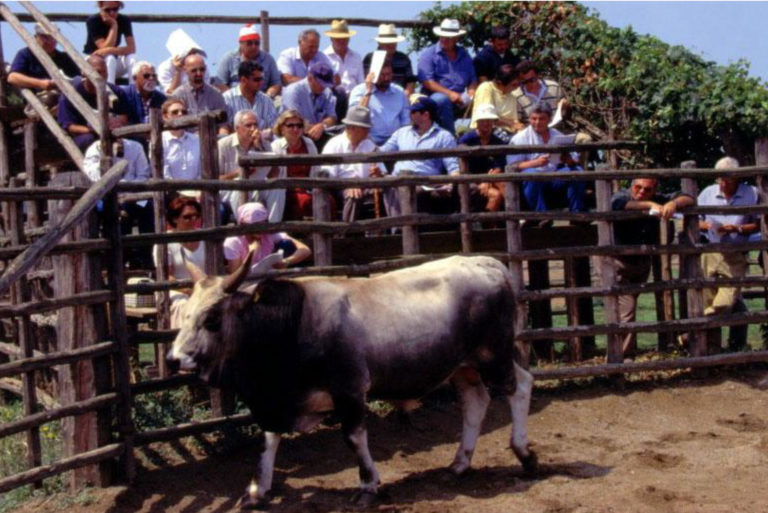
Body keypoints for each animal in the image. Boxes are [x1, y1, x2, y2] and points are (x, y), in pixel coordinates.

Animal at [166, 254, 540, 506]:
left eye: (212, 319)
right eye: (184, 314)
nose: (173, 359)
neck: (293, 324)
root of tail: (486, 262)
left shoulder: (349, 389)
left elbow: (354, 437)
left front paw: (368, 485)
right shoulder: (277, 401)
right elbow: (269, 440)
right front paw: (258, 489)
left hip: (494, 356)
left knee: (520, 386)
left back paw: (524, 454)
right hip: (463, 366)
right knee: (476, 402)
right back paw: (460, 462)